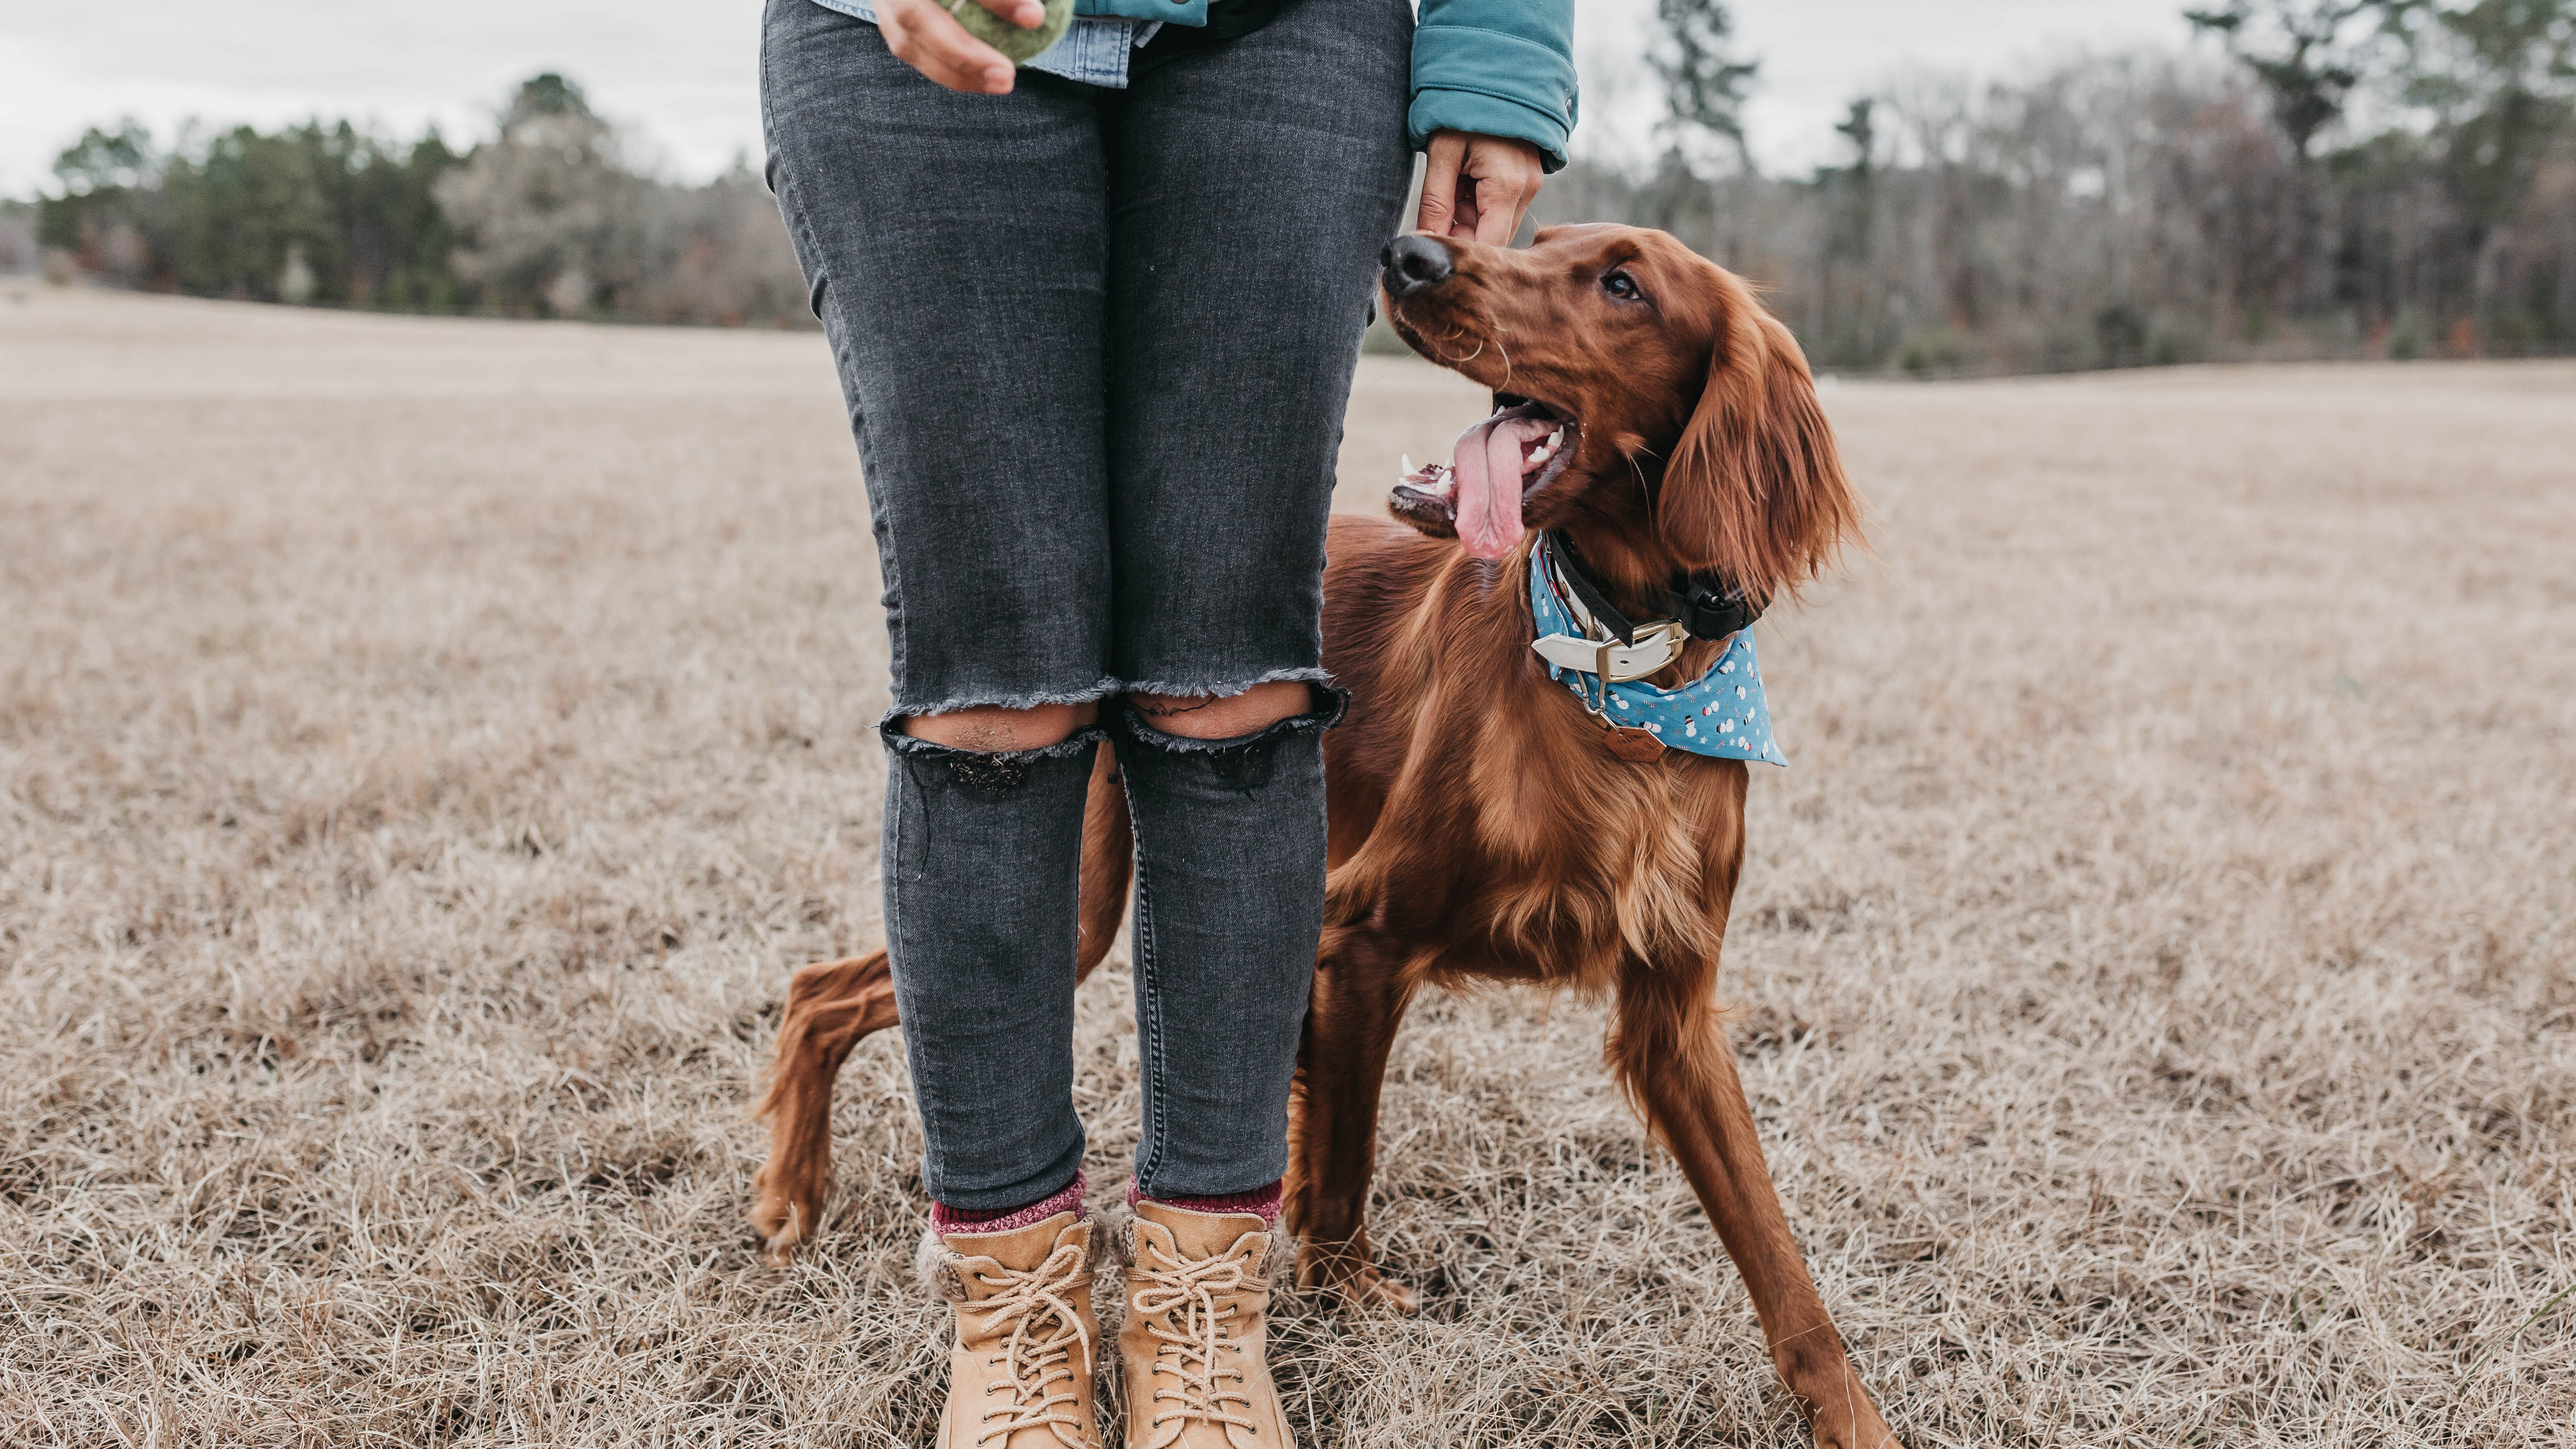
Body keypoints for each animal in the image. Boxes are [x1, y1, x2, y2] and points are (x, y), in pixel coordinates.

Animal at [747, 225, 1896, 1443]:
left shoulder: (1672, 1011)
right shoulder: (1363, 939)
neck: (1617, 667)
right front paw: (1345, 1294)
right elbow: (1343, 1160)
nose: (1414, 253)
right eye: (1541, 241)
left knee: (825, 988)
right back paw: (788, 1199)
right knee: (825, 991)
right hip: (1081, 898)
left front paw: (1852, 1414)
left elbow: (1775, 1247)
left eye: (1624, 284)